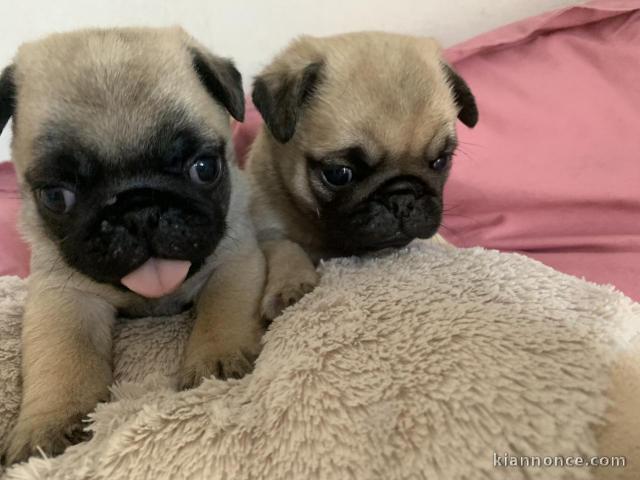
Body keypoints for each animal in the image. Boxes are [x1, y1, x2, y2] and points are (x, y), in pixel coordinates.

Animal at [0, 27, 264, 464]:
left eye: (205, 168)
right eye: (56, 196)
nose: (139, 210)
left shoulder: (234, 260)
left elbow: (223, 310)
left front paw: (216, 363)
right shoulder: (63, 296)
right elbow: (63, 356)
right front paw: (49, 423)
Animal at [248, 32, 478, 318]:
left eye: (440, 161)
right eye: (339, 174)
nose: (402, 197)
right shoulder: (266, 230)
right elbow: (286, 247)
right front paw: (290, 285)